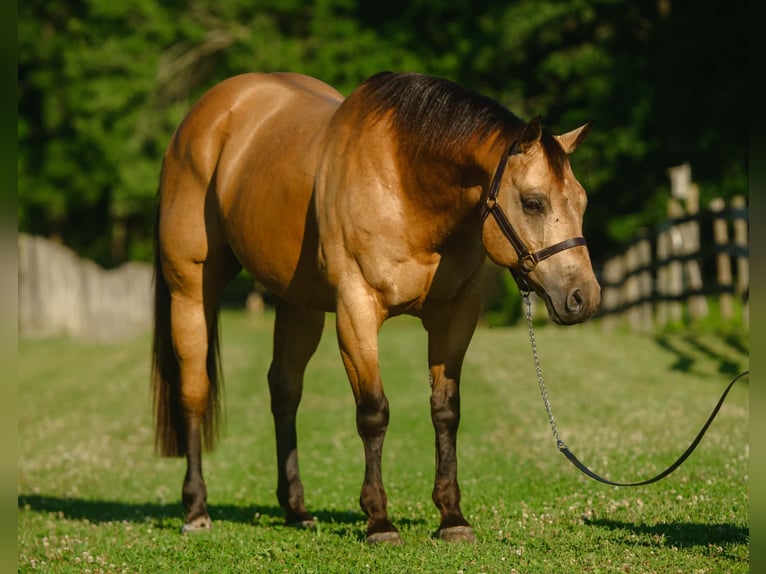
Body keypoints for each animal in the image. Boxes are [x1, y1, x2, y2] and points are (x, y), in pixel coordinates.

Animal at [152, 71, 600, 544]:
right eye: (533, 202)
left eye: (582, 201)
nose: (583, 297)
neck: (407, 187)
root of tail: (204, 118)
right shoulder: (357, 311)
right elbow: (373, 412)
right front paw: (379, 520)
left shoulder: (455, 315)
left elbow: (446, 410)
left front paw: (452, 517)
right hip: (190, 291)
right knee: (194, 391)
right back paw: (196, 509)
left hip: (298, 306)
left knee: (285, 391)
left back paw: (296, 508)